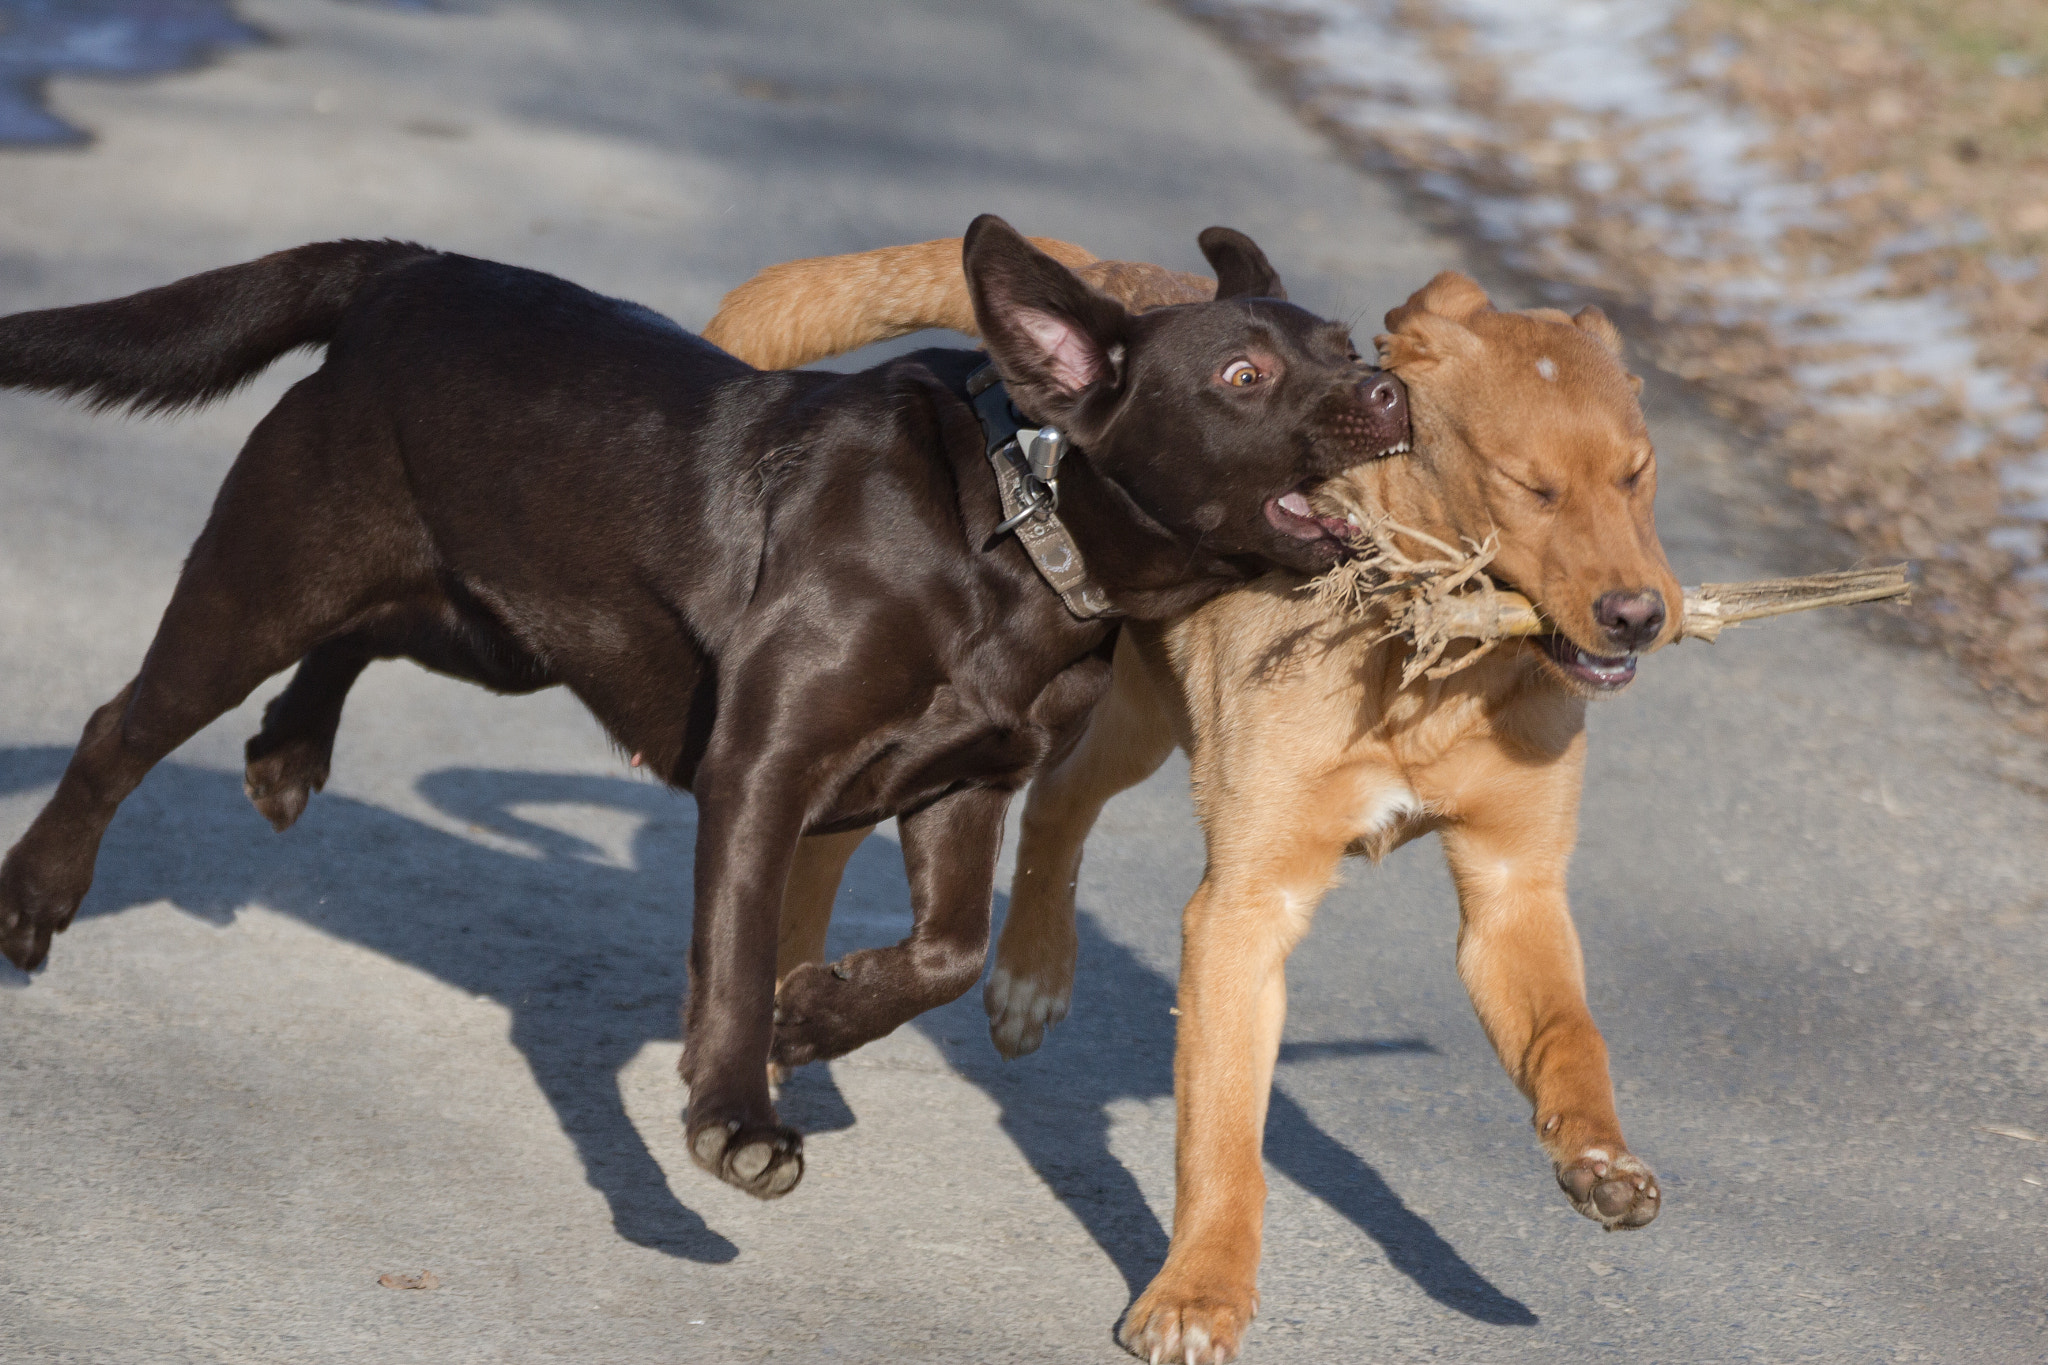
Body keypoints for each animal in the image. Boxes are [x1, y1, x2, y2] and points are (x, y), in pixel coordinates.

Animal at [704, 240, 1679, 1358]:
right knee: (848, 840)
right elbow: (1223, 1146)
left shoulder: (1513, 890)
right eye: (1530, 488)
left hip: (1133, 714)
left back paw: (1023, 973)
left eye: (1637, 473)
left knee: (1060, 799)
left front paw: (1600, 1162)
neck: (1429, 662)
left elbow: (1570, 1039)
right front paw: (1199, 1293)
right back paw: (797, 1004)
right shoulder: (1245, 909)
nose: (1641, 615)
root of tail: (1125, 278)